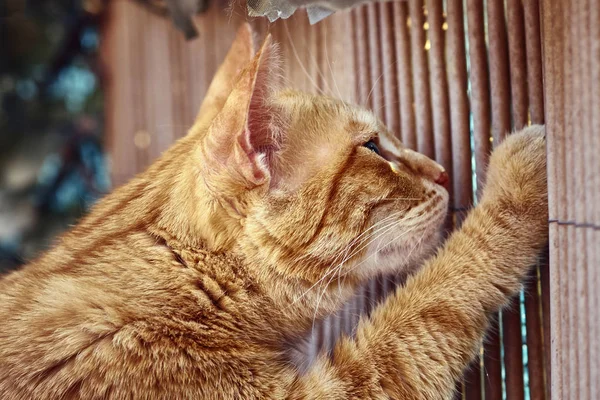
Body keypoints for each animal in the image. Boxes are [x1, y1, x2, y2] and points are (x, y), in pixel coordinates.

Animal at [0, 25, 548, 400]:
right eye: (372, 147)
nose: (443, 173)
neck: (190, 281)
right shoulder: (350, 383)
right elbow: (433, 303)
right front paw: (517, 186)